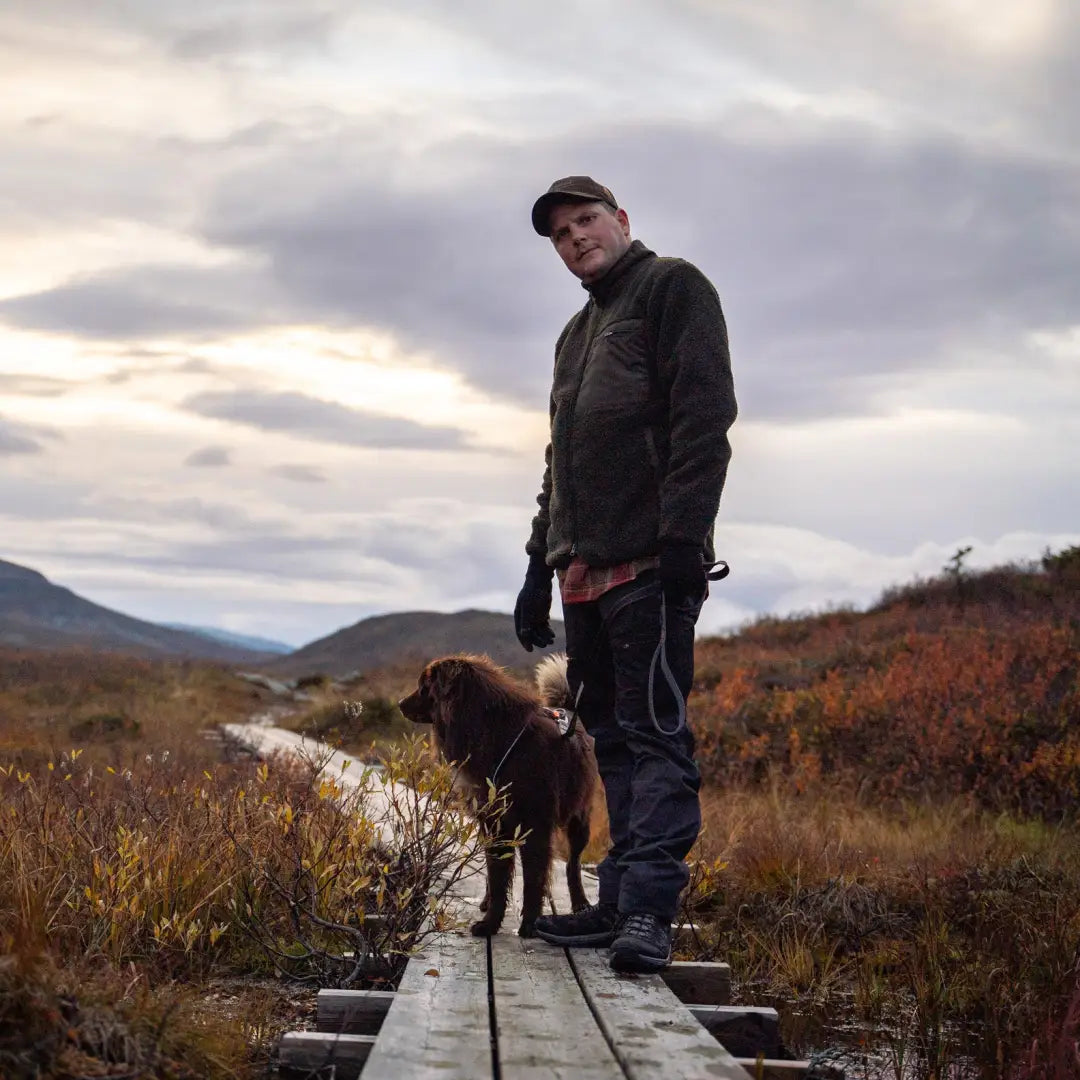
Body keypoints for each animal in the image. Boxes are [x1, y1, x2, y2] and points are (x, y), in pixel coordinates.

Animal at [399, 648, 600, 937]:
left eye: (424, 687)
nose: (400, 703)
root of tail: (569, 709)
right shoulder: (494, 823)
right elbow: (497, 877)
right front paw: (491, 922)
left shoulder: (535, 827)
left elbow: (532, 879)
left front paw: (529, 923)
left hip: (579, 821)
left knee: (573, 865)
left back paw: (581, 903)